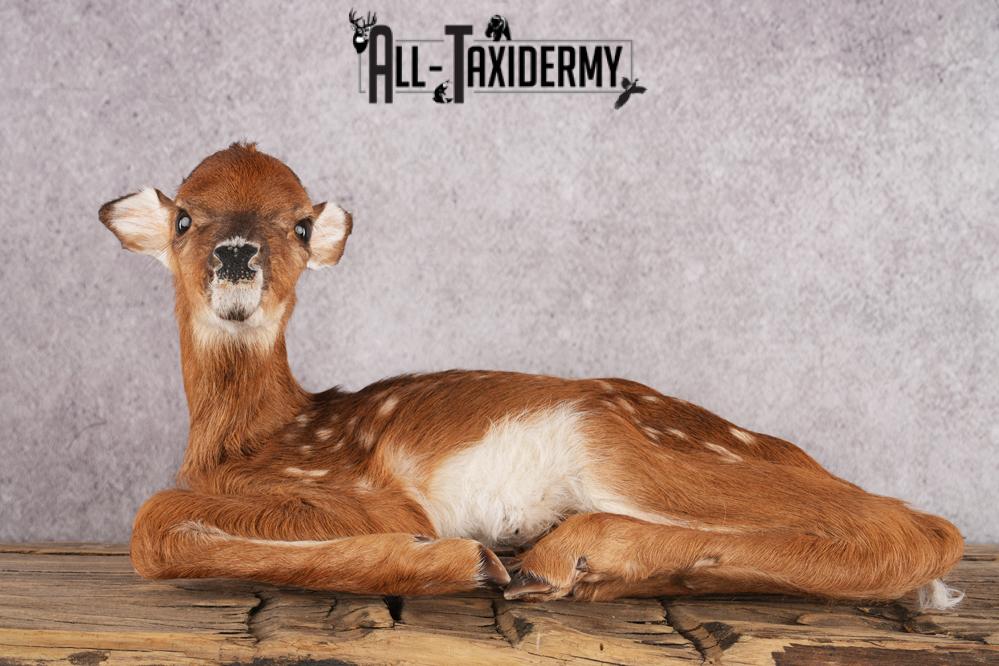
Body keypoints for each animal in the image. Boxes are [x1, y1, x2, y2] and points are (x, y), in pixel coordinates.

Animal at [98, 143, 964, 609]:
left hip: (632, 445)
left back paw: (563, 555)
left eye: (301, 226)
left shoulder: (363, 491)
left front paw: (449, 558)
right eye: (184, 217)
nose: (236, 254)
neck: (248, 440)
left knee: (917, 527)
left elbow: (151, 521)